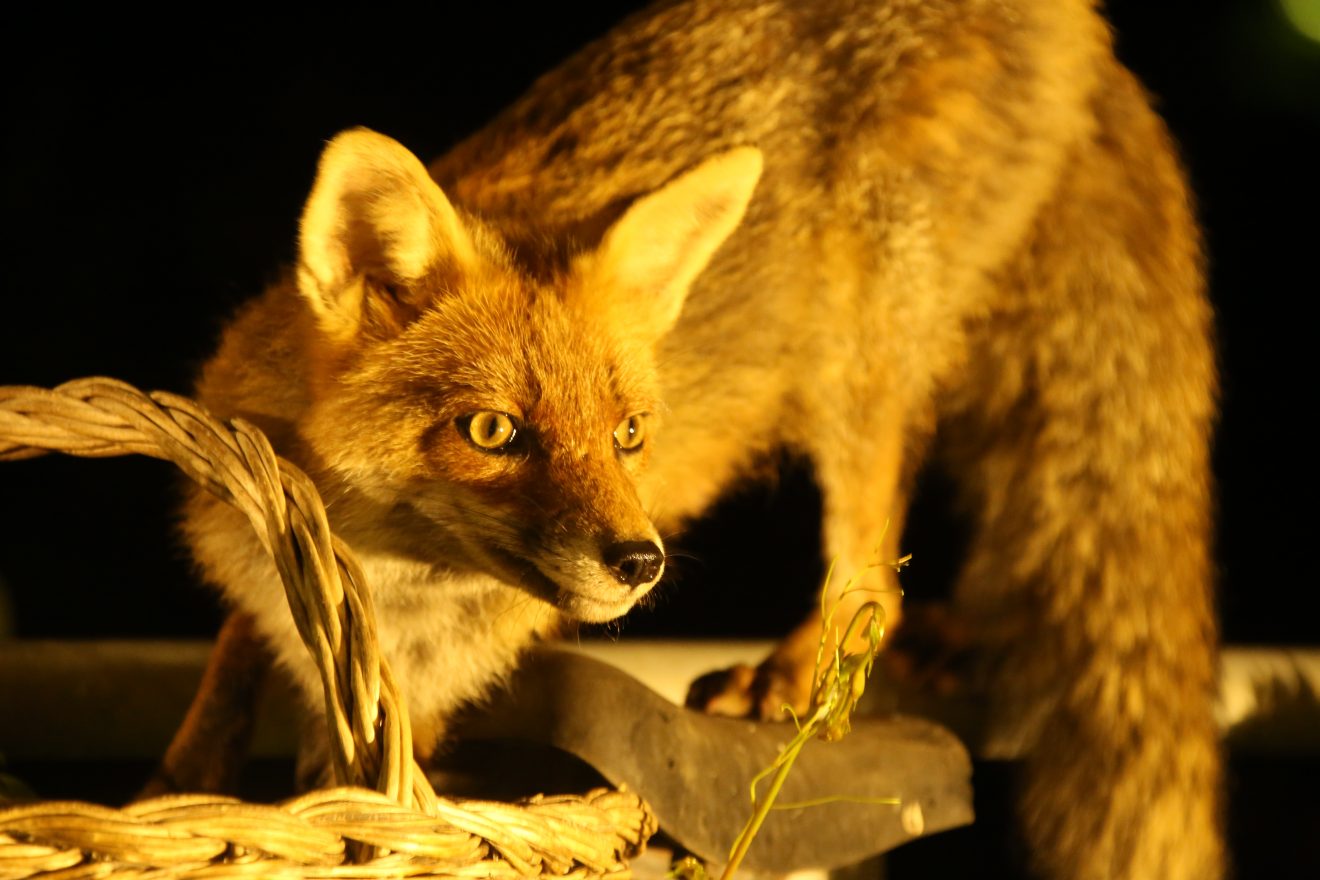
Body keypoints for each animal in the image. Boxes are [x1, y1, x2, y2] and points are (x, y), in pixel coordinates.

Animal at [153, 0, 1221, 878]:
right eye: (493, 431)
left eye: (628, 434)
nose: (641, 561)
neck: (383, 583)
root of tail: (1085, 29)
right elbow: (236, 666)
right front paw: (186, 784)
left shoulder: (419, 701)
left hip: (855, 349)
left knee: (877, 575)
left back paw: (799, 672)